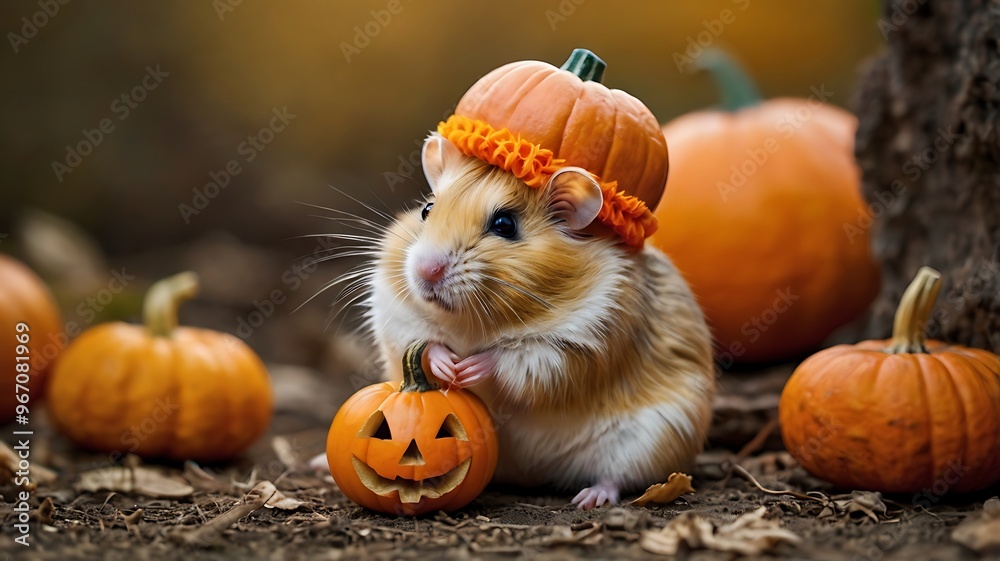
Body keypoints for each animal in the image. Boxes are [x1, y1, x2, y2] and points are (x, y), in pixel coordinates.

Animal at [364, 133, 716, 510]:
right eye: (426, 210)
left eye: (505, 225)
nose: (426, 271)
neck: (472, 322)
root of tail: (534, 476)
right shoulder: (394, 313)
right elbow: (422, 341)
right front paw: (449, 366)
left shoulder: (584, 341)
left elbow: (516, 357)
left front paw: (469, 368)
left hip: (650, 438)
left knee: (619, 478)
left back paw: (588, 499)